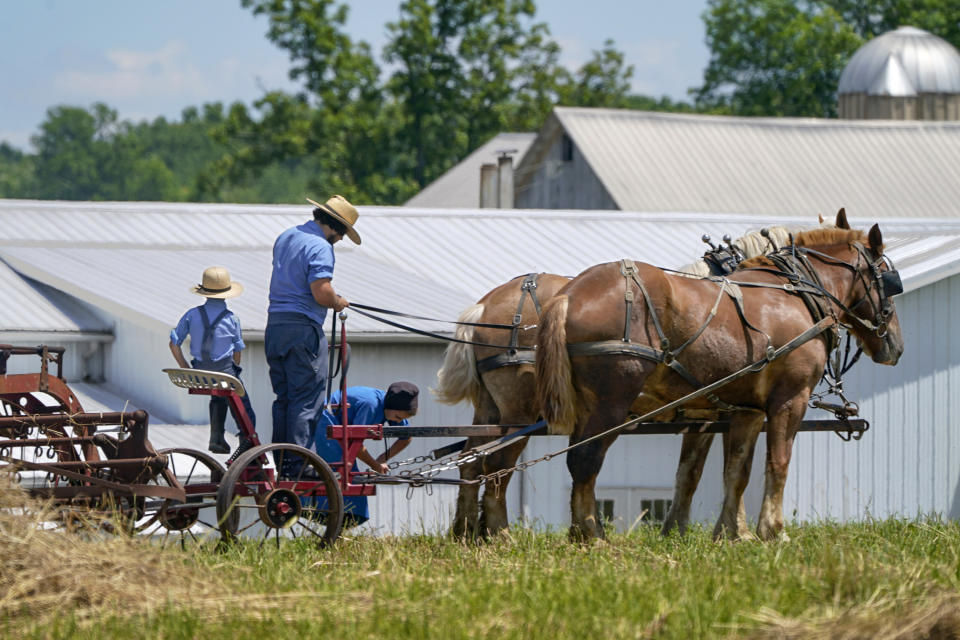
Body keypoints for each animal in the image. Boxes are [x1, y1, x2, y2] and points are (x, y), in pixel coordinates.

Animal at [536, 212, 904, 544]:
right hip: (611, 402)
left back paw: (578, 532)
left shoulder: (741, 411)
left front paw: (731, 533)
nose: (896, 346)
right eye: (888, 281)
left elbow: (731, 472)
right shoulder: (790, 399)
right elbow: (778, 462)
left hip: (589, 407)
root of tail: (570, 293)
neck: (797, 295)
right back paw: (593, 535)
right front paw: (773, 531)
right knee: (585, 459)